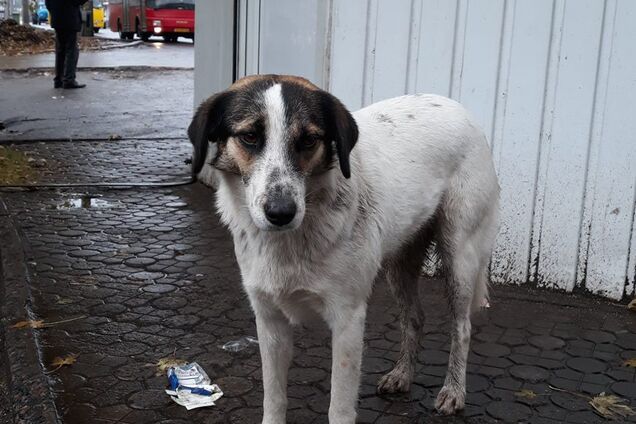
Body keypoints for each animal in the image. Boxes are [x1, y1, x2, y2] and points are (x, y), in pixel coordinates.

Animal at [189, 74, 502, 422]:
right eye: (250, 136)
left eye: (309, 140)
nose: (281, 213)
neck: (290, 241)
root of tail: (457, 107)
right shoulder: (269, 320)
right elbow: (274, 398)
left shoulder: (348, 319)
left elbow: (338, 407)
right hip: (399, 262)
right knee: (414, 317)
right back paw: (402, 375)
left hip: (459, 256)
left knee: (462, 327)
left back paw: (454, 391)